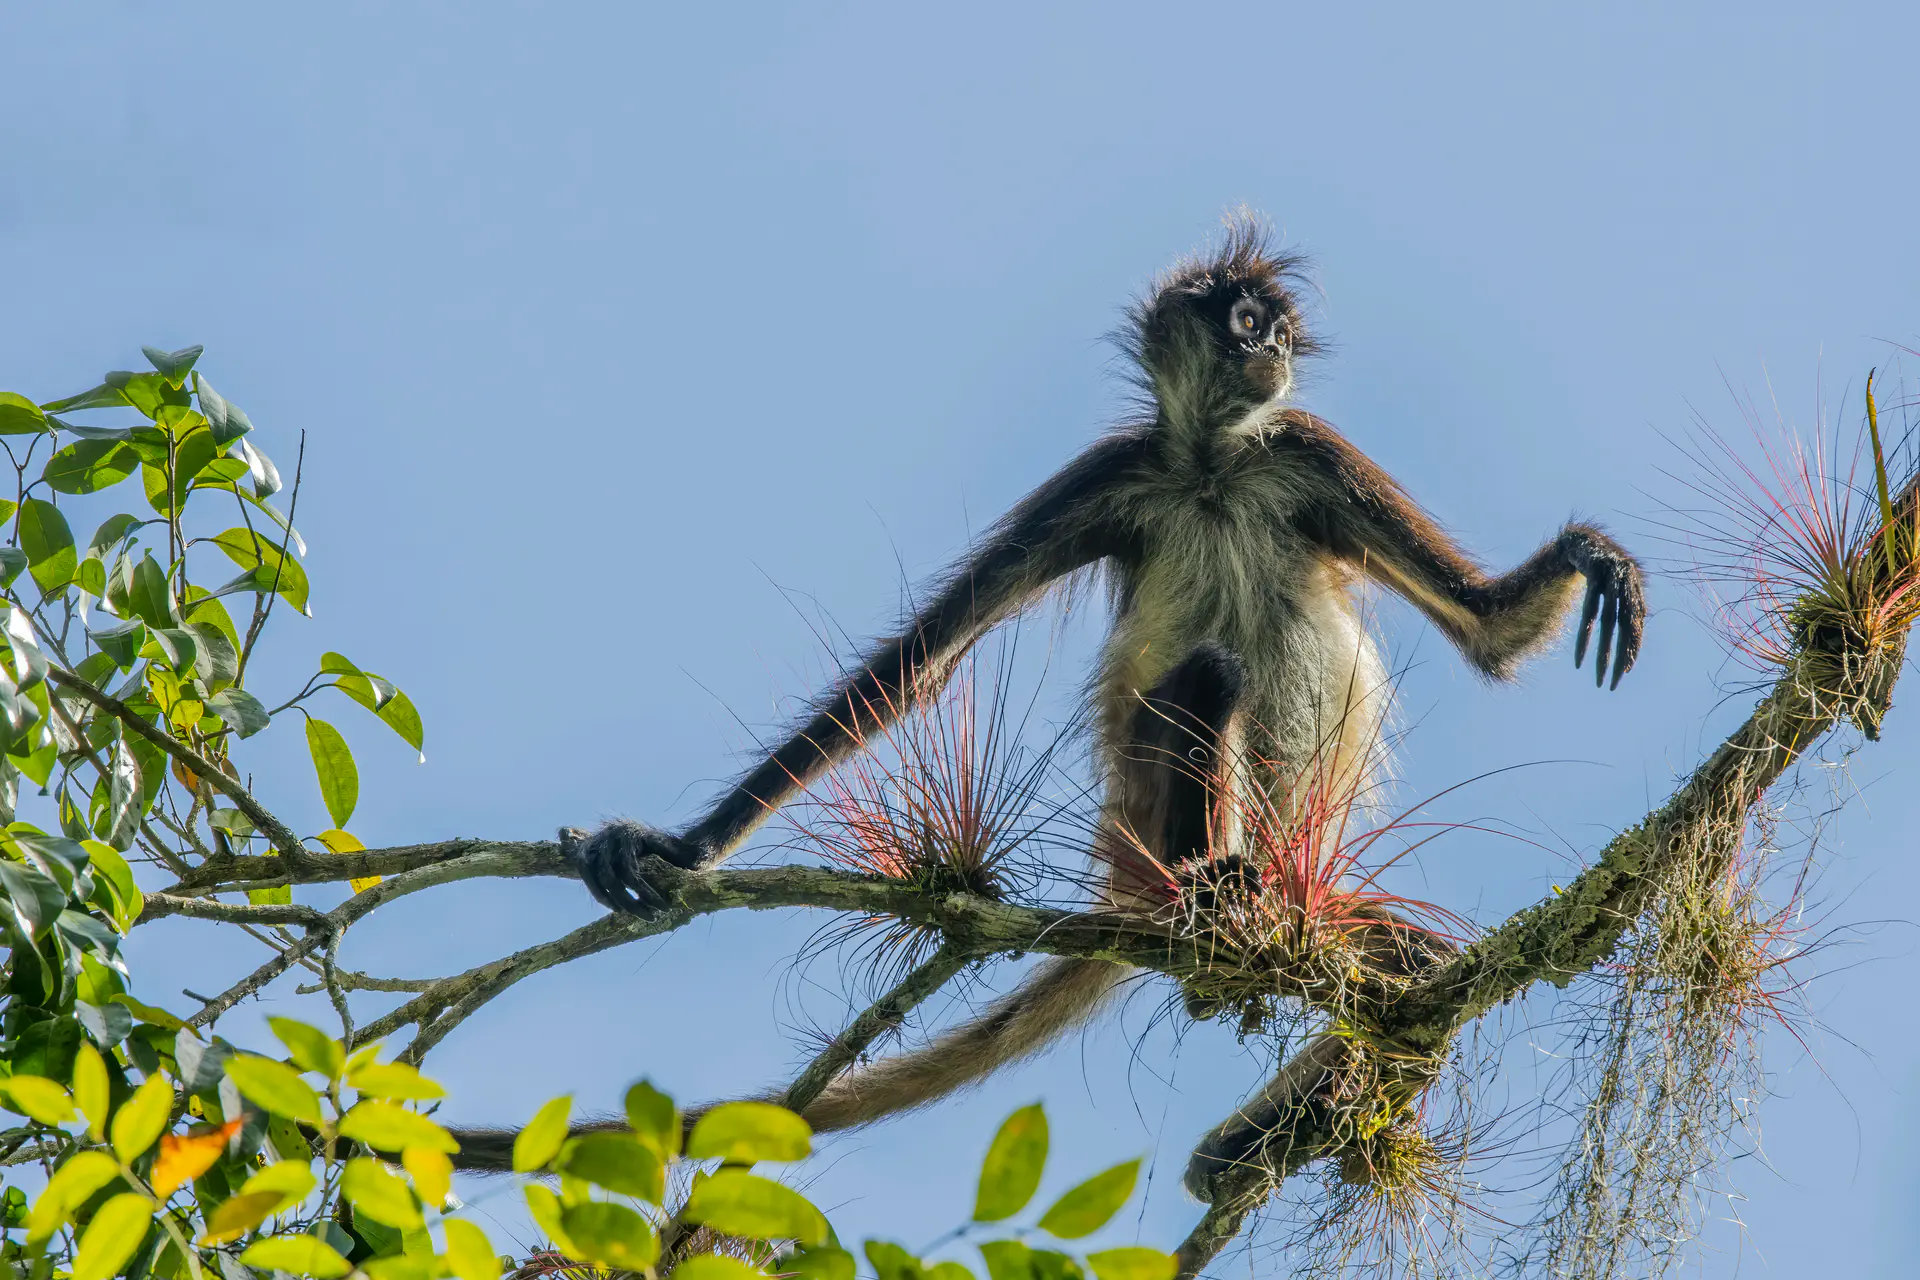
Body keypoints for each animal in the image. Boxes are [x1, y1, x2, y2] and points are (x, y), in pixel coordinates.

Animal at [446, 219, 1643, 1171]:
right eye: (1245, 319)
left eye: (1279, 331)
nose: (1270, 349)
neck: (1214, 467)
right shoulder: (1114, 475)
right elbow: (915, 665)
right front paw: (682, 845)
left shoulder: (1304, 451)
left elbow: (1488, 632)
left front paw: (1587, 558)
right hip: (1147, 809)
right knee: (1211, 677)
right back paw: (1214, 897)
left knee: (1418, 978)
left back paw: (1266, 1096)